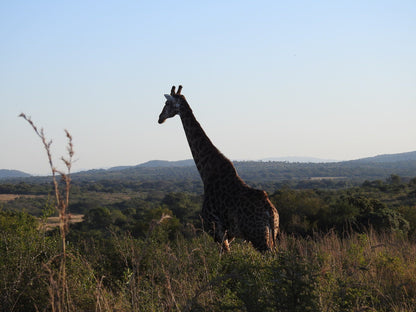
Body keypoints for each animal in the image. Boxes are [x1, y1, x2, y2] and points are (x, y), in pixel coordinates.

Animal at [159, 84, 280, 251]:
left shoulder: (216, 230)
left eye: (167, 103)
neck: (206, 172)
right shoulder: (228, 235)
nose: (160, 118)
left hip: (258, 238)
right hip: (270, 237)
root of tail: (271, 213)